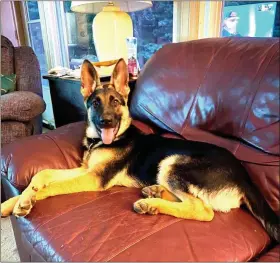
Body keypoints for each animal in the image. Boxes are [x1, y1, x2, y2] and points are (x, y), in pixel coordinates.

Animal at [1, 58, 278, 242]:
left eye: (116, 102)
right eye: (94, 103)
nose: (106, 122)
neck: (102, 141)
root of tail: (246, 177)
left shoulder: (94, 178)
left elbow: (52, 187)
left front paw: (29, 200)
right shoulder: (85, 170)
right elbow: (43, 174)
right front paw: (13, 202)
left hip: (174, 162)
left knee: (201, 209)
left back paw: (150, 203)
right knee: (189, 199)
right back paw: (154, 193)